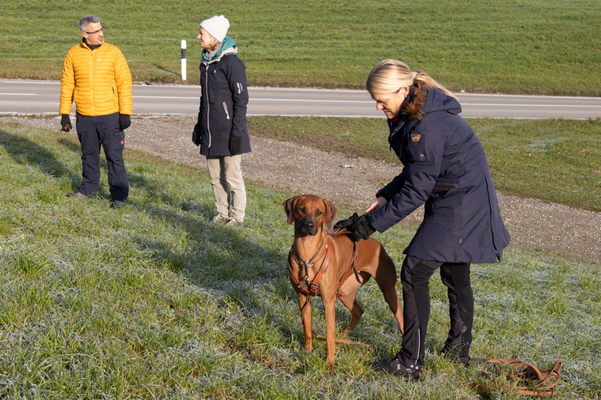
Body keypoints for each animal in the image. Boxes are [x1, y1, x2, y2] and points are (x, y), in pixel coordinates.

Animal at [284, 195, 406, 364]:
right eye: (301, 209)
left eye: (319, 212)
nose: (309, 226)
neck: (307, 256)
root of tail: (378, 244)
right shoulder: (302, 297)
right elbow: (307, 328)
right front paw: (308, 351)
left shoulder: (328, 301)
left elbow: (329, 335)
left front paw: (329, 361)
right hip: (345, 292)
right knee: (358, 311)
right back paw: (344, 336)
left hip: (390, 292)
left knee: (402, 322)